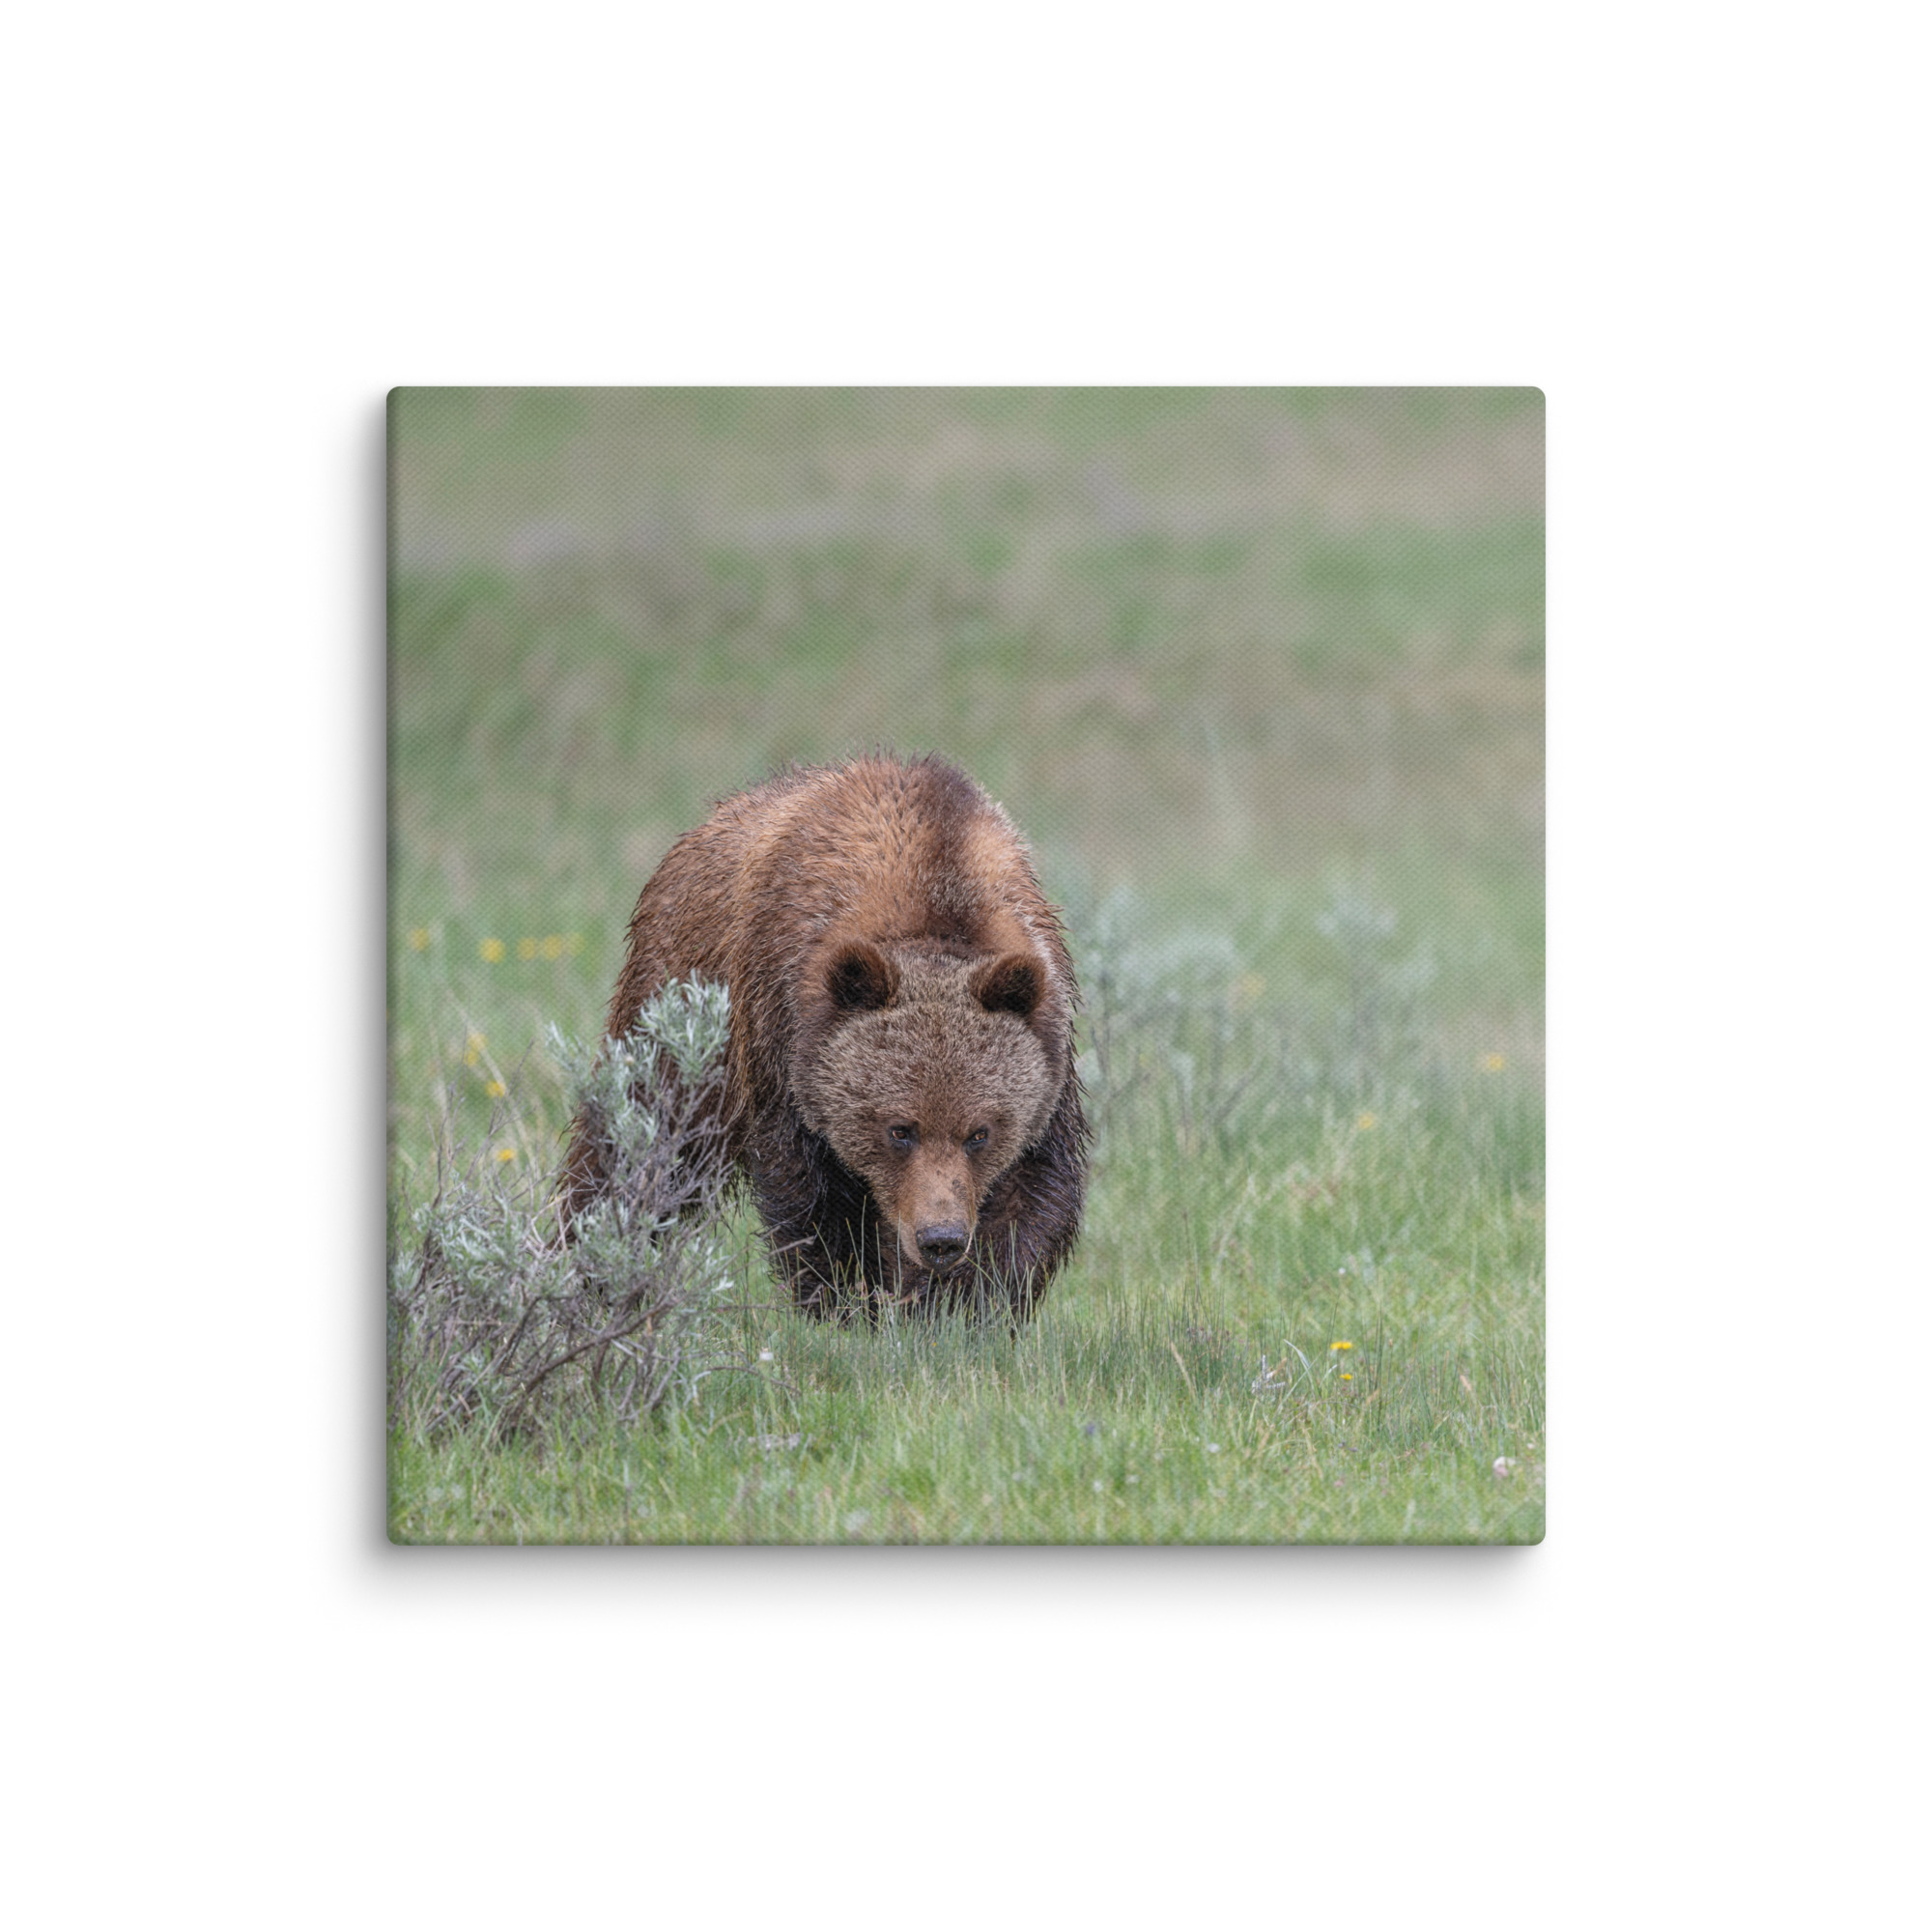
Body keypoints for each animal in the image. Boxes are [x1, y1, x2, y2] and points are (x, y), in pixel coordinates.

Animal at [564, 753, 1089, 1319]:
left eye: (979, 1133)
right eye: (899, 1129)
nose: (940, 1239)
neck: (935, 891)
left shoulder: (1048, 1051)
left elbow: (1030, 1195)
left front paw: (961, 1306)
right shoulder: (783, 1037)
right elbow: (814, 1199)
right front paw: (847, 1301)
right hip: (678, 1008)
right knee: (637, 1142)